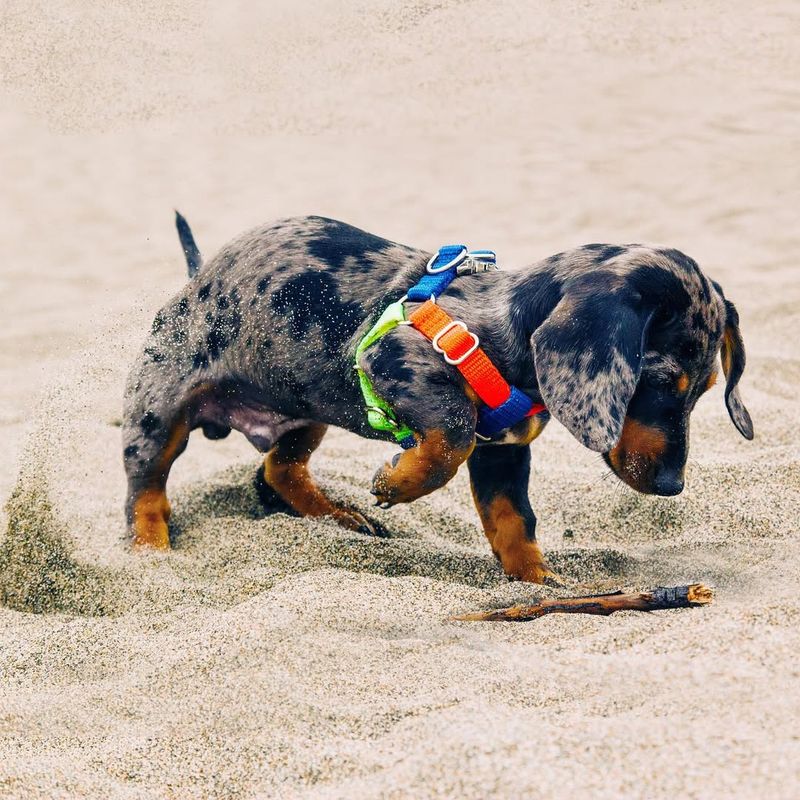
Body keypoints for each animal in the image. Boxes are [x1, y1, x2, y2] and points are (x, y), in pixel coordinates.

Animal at [122, 216, 752, 584]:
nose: (672, 486)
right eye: (658, 381)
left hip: (305, 410)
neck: (505, 327)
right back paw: (149, 553)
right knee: (145, 488)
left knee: (279, 468)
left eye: (704, 391)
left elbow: (513, 521)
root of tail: (198, 276)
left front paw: (540, 584)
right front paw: (398, 482)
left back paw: (336, 515)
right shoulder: (391, 360)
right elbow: (450, 434)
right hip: (158, 408)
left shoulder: (504, 452)